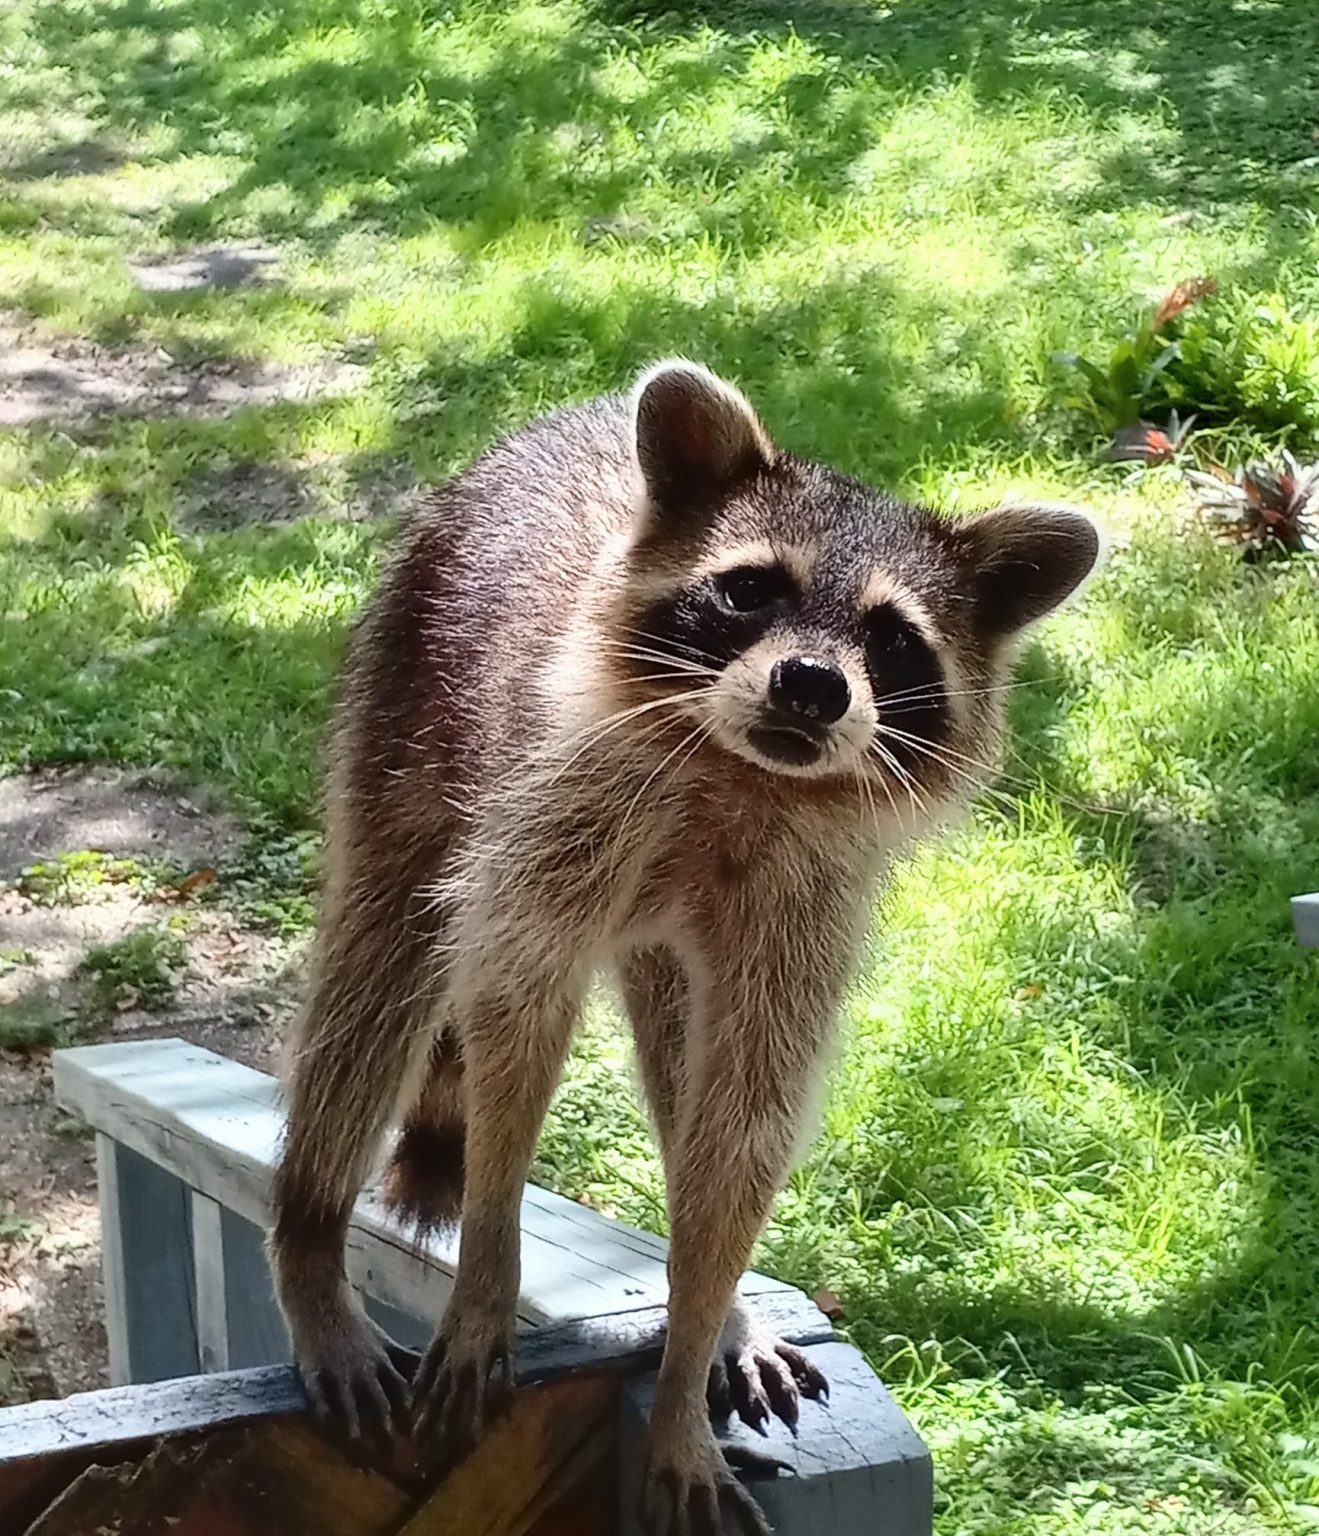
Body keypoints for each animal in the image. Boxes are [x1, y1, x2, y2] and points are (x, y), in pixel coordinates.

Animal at [270, 353, 1105, 1529]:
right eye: (750, 589)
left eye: (893, 637)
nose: (811, 683)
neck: (740, 774)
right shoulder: (554, 816)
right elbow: (511, 1028)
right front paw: (486, 1275)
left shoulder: (802, 912)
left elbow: (741, 1132)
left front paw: (692, 1350)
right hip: (406, 711)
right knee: (376, 976)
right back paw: (307, 1231)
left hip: (666, 940)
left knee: (680, 1065)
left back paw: (725, 1314)